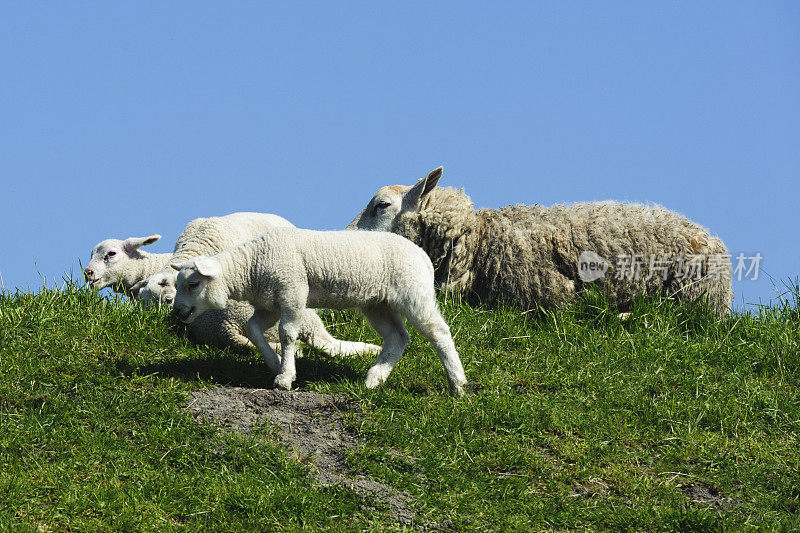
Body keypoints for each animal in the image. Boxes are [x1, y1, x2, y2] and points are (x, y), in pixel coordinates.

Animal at [170, 229, 468, 394]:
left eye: (193, 284)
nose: (178, 312)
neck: (252, 266)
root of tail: (423, 257)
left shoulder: (292, 292)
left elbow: (287, 334)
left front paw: (285, 377)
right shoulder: (270, 303)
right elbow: (254, 330)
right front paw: (275, 363)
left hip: (413, 292)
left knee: (439, 332)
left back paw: (458, 384)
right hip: (377, 303)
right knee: (398, 337)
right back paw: (374, 378)